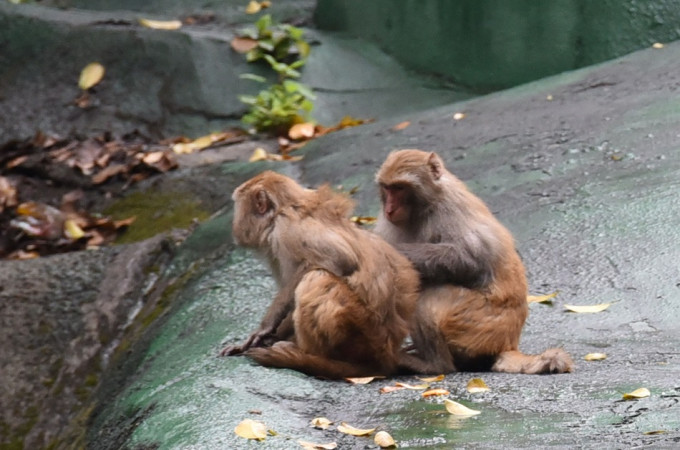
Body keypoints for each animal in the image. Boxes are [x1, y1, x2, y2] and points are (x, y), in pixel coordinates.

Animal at [220, 171, 420, 378]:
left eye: (238, 206)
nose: (234, 225)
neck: (280, 212)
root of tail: (387, 354)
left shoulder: (286, 228)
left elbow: (341, 259)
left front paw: (265, 328)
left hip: (363, 334)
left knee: (317, 276)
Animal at [372, 149, 572, 374]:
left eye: (400, 188)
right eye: (387, 188)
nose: (389, 209)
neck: (425, 207)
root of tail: (508, 343)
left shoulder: (449, 210)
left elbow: (469, 261)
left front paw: (393, 250)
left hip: (478, 327)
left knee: (428, 297)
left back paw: (433, 365)